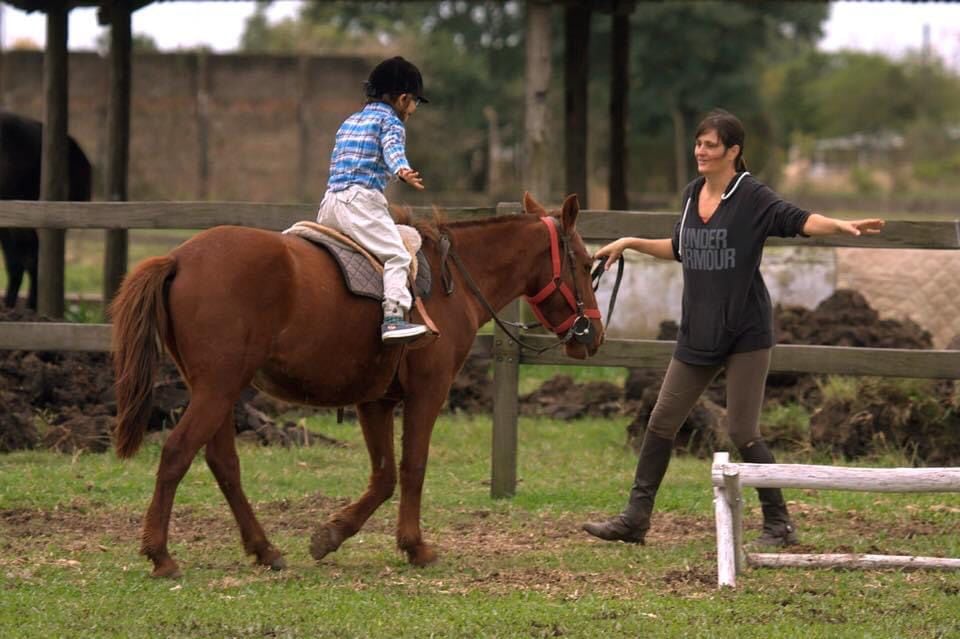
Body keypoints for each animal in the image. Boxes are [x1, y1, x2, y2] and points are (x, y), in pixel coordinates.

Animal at [109, 192, 604, 576]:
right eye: (584, 263)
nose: (593, 335)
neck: (454, 282)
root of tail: (178, 257)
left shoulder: (376, 401)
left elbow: (384, 476)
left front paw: (331, 534)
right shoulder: (427, 393)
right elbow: (412, 467)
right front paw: (415, 546)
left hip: (220, 391)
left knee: (223, 464)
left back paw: (265, 549)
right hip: (217, 390)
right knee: (177, 453)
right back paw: (160, 555)